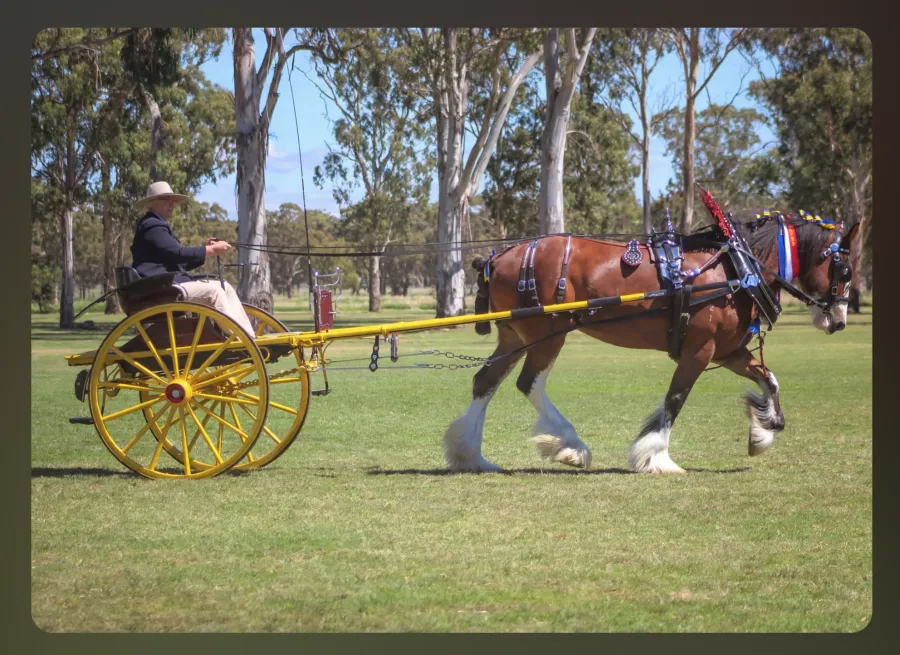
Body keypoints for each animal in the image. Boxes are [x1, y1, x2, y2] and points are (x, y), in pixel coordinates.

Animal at [443, 211, 860, 474]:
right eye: (845, 270)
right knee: (528, 383)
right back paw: (570, 446)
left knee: (486, 381)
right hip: (547, 335)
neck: (738, 269)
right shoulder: (700, 351)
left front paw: (762, 432)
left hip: (514, 336)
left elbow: (769, 379)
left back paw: (471, 455)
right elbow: (675, 399)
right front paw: (656, 457)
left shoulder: (729, 351)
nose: (840, 320)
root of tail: (499, 257)